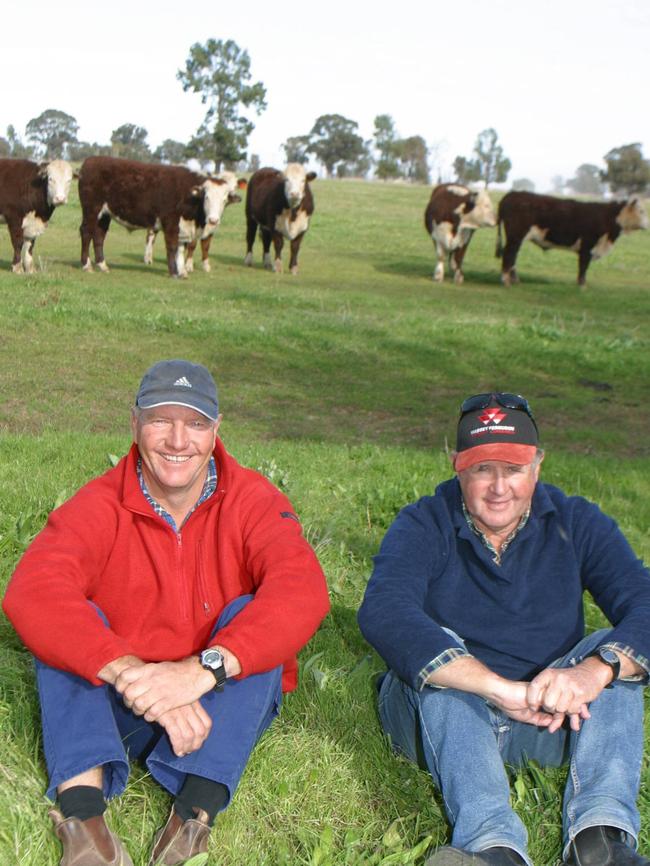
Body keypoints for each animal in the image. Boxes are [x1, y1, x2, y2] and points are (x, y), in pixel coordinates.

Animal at [76, 156, 238, 276]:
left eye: (225, 200)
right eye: (206, 197)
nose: (213, 220)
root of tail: (91, 160)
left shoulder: (183, 227)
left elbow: (181, 248)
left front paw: (182, 271)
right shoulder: (170, 222)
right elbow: (172, 246)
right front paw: (174, 272)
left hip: (104, 214)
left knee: (99, 235)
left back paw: (102, 265)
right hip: (91, 209)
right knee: (86, 232)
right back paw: (86, 265)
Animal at [494, 191, 644, 286]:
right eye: (642, 211)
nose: (647, 224)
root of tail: (512, 194)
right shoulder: (587, 246)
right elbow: (583, 267)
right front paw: (582, 286)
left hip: (516, 238)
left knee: (513, 257)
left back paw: (515, 280)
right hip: (515, 237)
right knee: (509, 255)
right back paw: (506, 281)